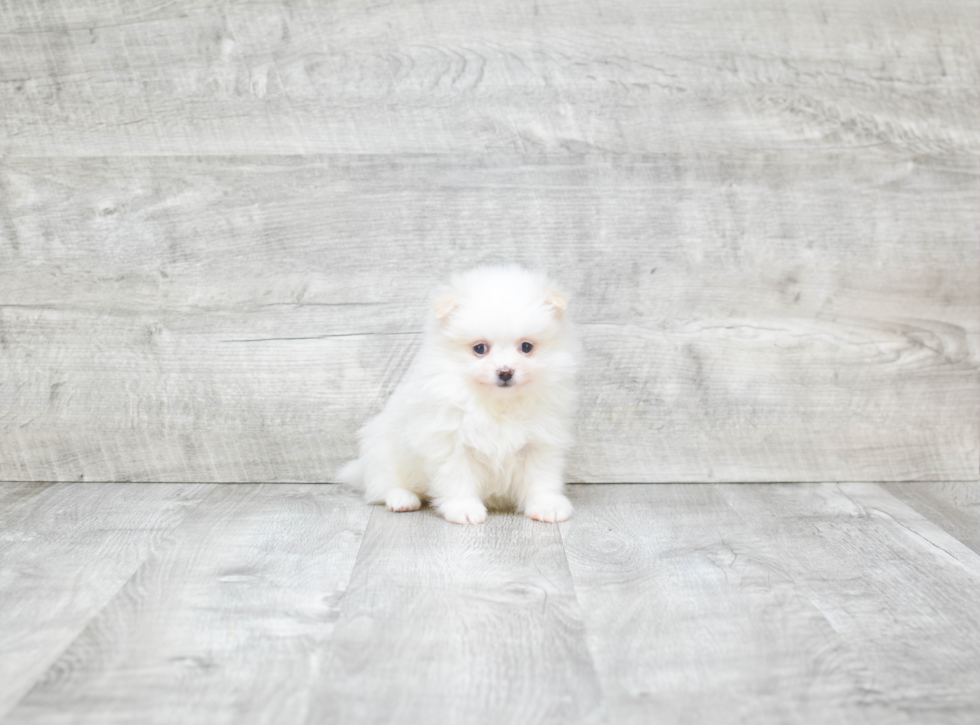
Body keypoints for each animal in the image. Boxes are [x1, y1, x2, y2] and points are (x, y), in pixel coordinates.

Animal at [340, 264, 580, 524]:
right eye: (480, 349)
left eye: (526, 347)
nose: (505, 372)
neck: (497, 403)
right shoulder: (450, 443)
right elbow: (458, 479)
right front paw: (464, 509)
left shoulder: (540, 442)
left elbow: (541, 478)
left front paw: (547, 506)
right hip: (382, 451)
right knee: (384, 485)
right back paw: (402, 499)